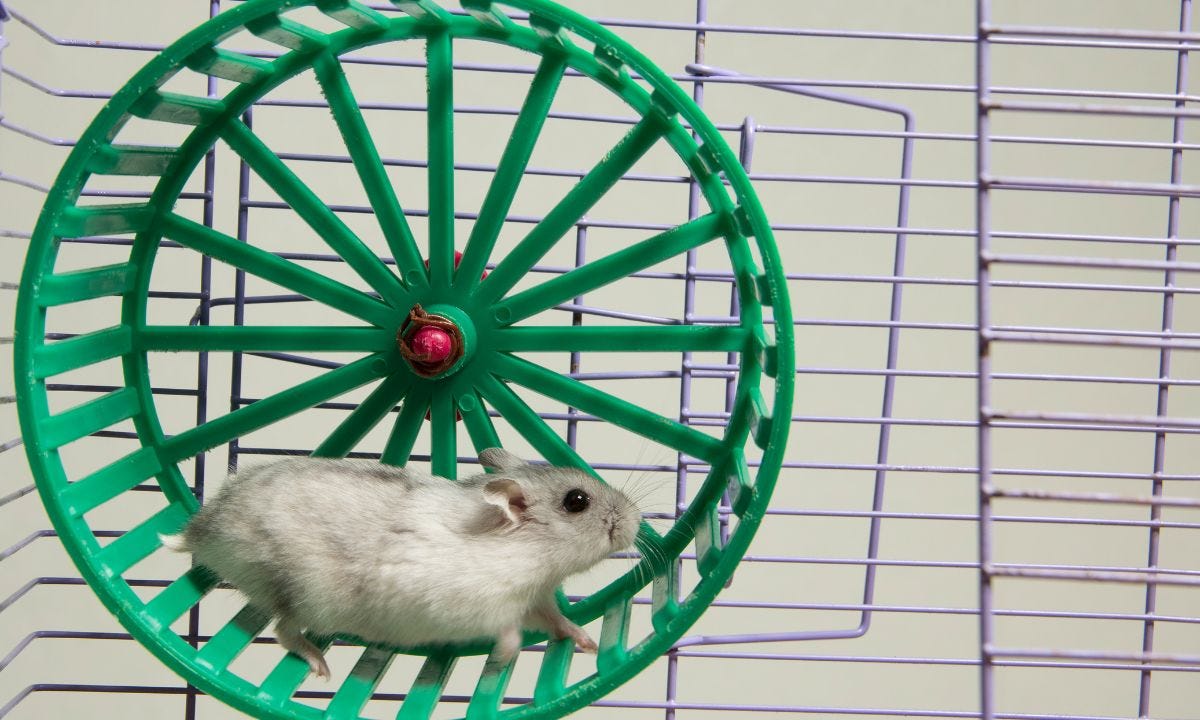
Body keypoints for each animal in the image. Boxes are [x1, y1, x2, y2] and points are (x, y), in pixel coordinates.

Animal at [161, 448, 641, 679]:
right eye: (576, 502)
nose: (637, 519)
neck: (528, 556)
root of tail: (202, 528)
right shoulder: (479, 606)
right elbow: (509, 634)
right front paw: (501, 662)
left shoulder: (537, 598)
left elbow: (559, 621)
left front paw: (588, 644)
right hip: (306, 597)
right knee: (284, 631)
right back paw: (321, 668)